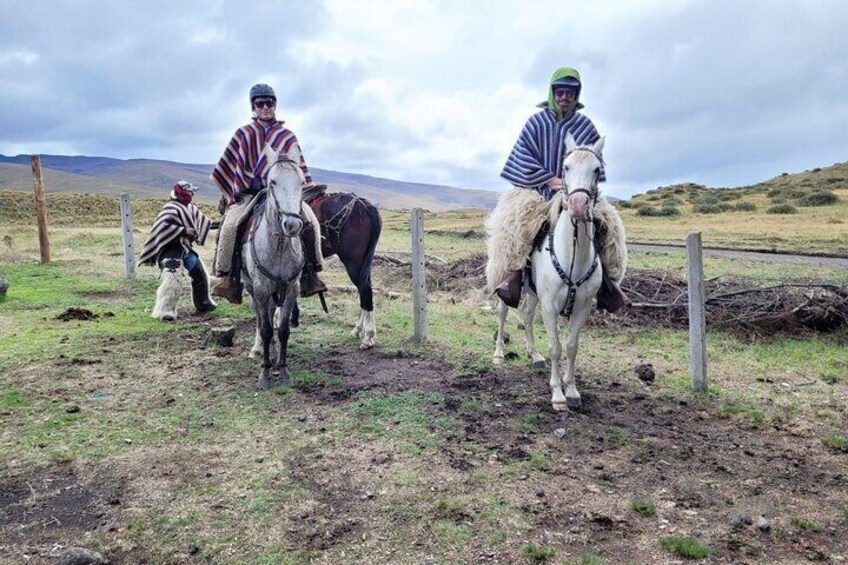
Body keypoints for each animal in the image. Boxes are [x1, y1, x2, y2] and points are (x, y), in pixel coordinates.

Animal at [243, 145, 306, 388]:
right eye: (273, 182)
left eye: (301, 182)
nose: (292, 225)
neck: (278, 248)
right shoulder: (261, 289)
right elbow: (267, 329)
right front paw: (265, 374)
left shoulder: (290, 289)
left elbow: (284, 330)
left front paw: (283, 370)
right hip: (252, 288)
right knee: (261, 320)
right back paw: (259, 349)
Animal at [306, 188, 382, 348]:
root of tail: (364, 205)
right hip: (364, 263)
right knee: (364, 290)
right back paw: (358, 330)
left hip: (353, 263)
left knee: (364, 289)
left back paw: (368, 336)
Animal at [494, 134, 608, 412]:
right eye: (565, 167)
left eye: (596, 170)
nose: (578, 205)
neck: (573, 257)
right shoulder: (549, 305)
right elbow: (556, 347)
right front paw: (557, 394)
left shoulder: (582, 306)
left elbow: (572, 346)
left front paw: (572, 390)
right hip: (507, 282)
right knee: (503, 314)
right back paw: (499, 353)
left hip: (534, 292)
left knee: (526, 316)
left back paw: (534, 354)